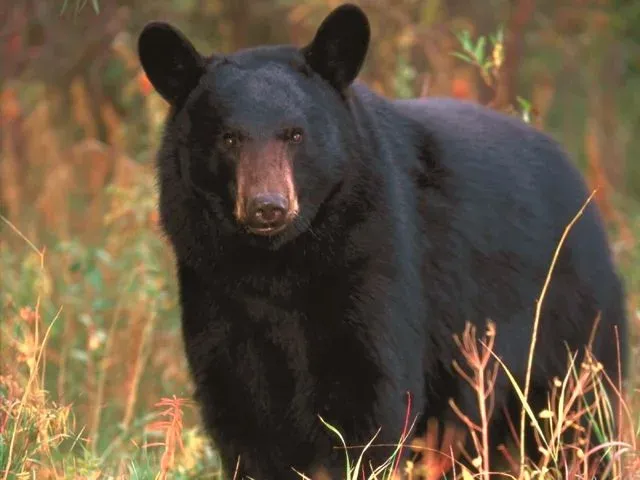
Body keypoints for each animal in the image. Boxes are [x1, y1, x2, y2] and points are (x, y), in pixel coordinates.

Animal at [138, 4, 628, 479]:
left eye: (295, 134)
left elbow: (369, 398)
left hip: (568, 323)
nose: (267, 207)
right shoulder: (214, 284)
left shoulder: (374, 257)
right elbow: (240, 408)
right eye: (229, 138)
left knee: (580, 420)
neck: (279, 265)